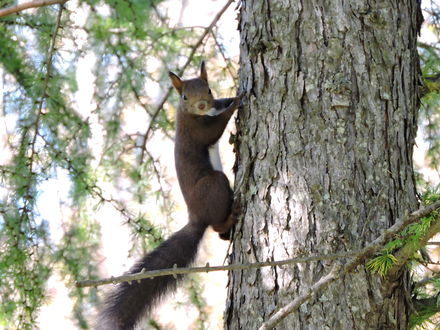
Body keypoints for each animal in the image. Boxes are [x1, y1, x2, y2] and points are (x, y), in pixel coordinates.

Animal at [98, 62, 242, 330]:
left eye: (208, 89)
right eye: (184, 96)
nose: (202, 105)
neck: (199, 114)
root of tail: (195, 217)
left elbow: (220, 105)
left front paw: (232, 95)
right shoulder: (193, 129)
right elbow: (214, 130)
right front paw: (237, 102)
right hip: (214, 185)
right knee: (216, 224)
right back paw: (231, 216)